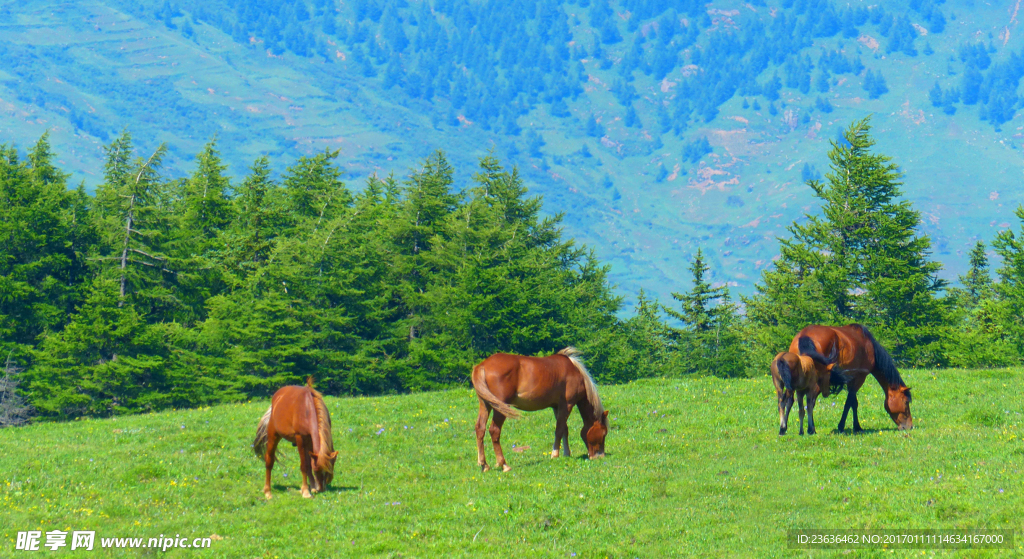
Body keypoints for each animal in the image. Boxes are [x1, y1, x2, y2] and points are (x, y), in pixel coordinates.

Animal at [471, 344, 606, 470]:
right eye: (604, 433)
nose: (600, 456)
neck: (574, 371)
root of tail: (482, 366)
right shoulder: (567, 405)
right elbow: (559, 429)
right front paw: (555, 454)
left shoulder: (557, 407)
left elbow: (564, 429)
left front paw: (566, 453)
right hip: (500, 407)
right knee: (494, 431)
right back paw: (504, 464)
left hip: (485, 404)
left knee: (480, 429)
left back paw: (484, 465)